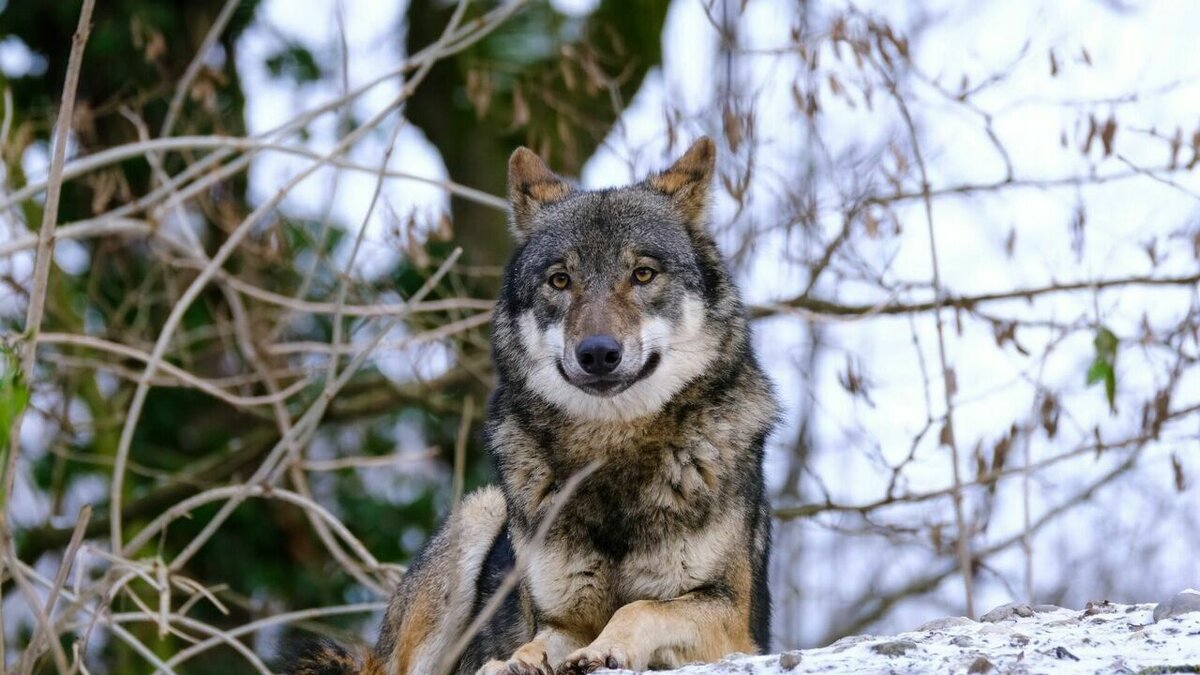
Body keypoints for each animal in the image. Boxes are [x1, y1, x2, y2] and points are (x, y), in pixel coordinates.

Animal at [289, 138, 777, 672]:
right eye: (560, 280)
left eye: (643, 274)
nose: (598, 353)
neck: (611, 451)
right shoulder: (559, 619)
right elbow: (535, 642)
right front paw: (513, 662)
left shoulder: (732, 622)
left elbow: (639, 609)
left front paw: (604, 649)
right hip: (477, 517)